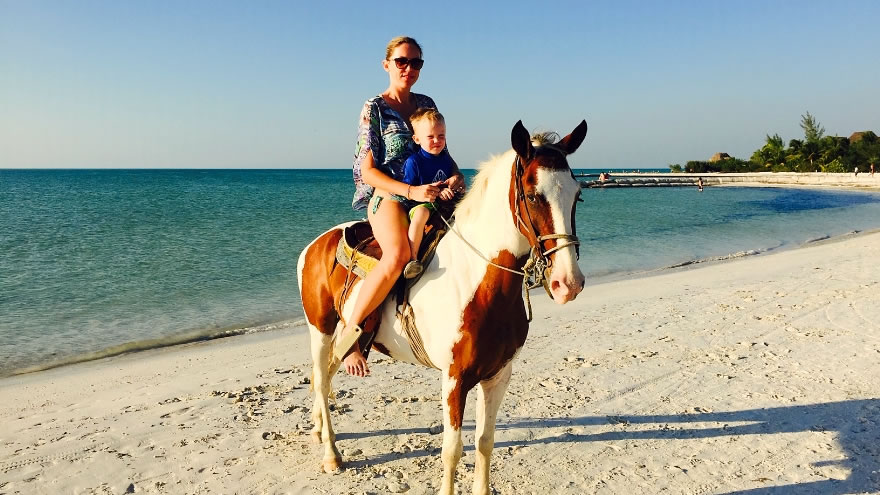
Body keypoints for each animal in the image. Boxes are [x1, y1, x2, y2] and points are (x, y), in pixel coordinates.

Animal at [297, 119, 588, 495]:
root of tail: (316, 244)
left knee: (328, 374)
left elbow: (485, 442)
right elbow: (452, 450)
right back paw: (331, 453)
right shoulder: (454, 380)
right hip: (320, 329)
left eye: (577, 195)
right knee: (321, 381)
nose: (568, 283)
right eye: (534, 195)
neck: (478, 280)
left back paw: (319, 429)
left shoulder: (498, 376)